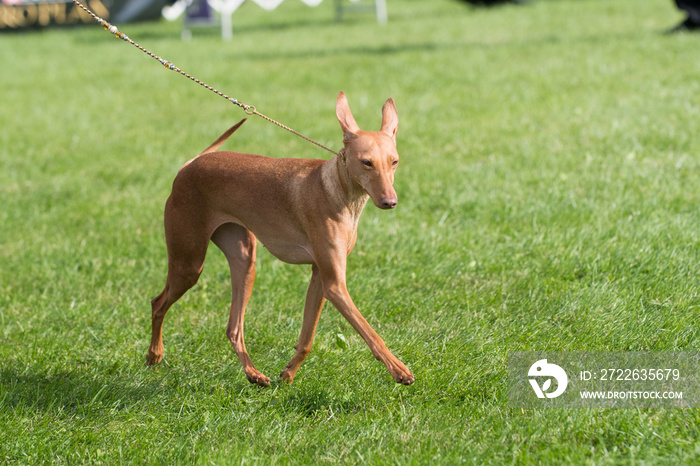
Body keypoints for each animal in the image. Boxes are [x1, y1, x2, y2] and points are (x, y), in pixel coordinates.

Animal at [145, 91, 412, 386]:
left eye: (394, 161)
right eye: (367, 162)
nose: (390, 202)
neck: (338, 191)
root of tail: (189, 165)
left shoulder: (320, 276)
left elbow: (307, 339)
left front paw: (288, 374)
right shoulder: (335, 284)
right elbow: (371, 334)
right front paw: (398, 369)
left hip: (244, 260)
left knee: (233, 328)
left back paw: (253, 374)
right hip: (188, 263)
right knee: (158, 303)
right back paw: (154, 355)